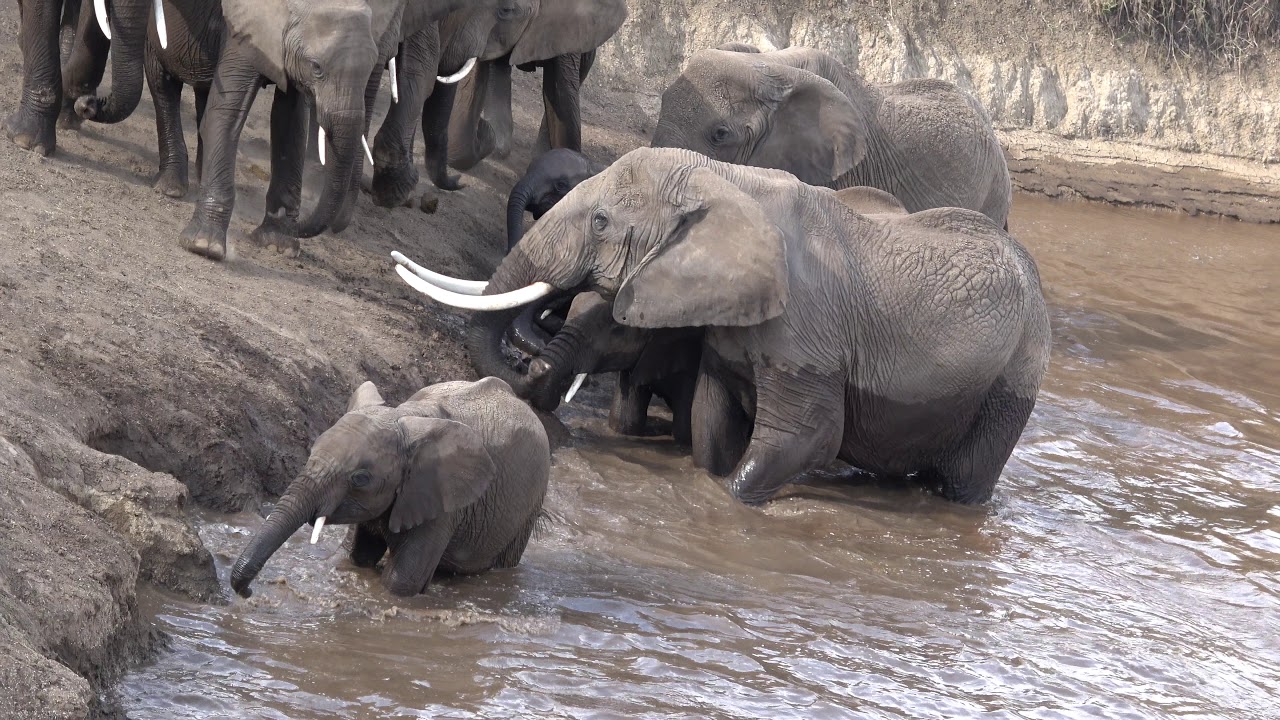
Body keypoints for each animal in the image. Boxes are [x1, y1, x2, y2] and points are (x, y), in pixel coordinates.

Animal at [177, 0, 406, 261]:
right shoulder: (244, 26)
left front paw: (279, 244)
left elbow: (291, 124)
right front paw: (204, 246)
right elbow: (227, 112)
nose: (297, 223)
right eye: (316, 67)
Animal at [229, 377, 550, 598]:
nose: (249, 592)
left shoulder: (441, 499)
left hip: (529, 503)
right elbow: (354, 557)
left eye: (360, 478)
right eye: (310, 453)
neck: (404, 416)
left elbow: (401, 581)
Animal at [394, 147, 1051, 506]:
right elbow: (712, 423)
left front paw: (730, 505)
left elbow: (806, 437)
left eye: (601, 221)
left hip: (1014, 377)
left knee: (963, 480)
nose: (524, 368)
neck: (727, 179)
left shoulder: (809, 334)